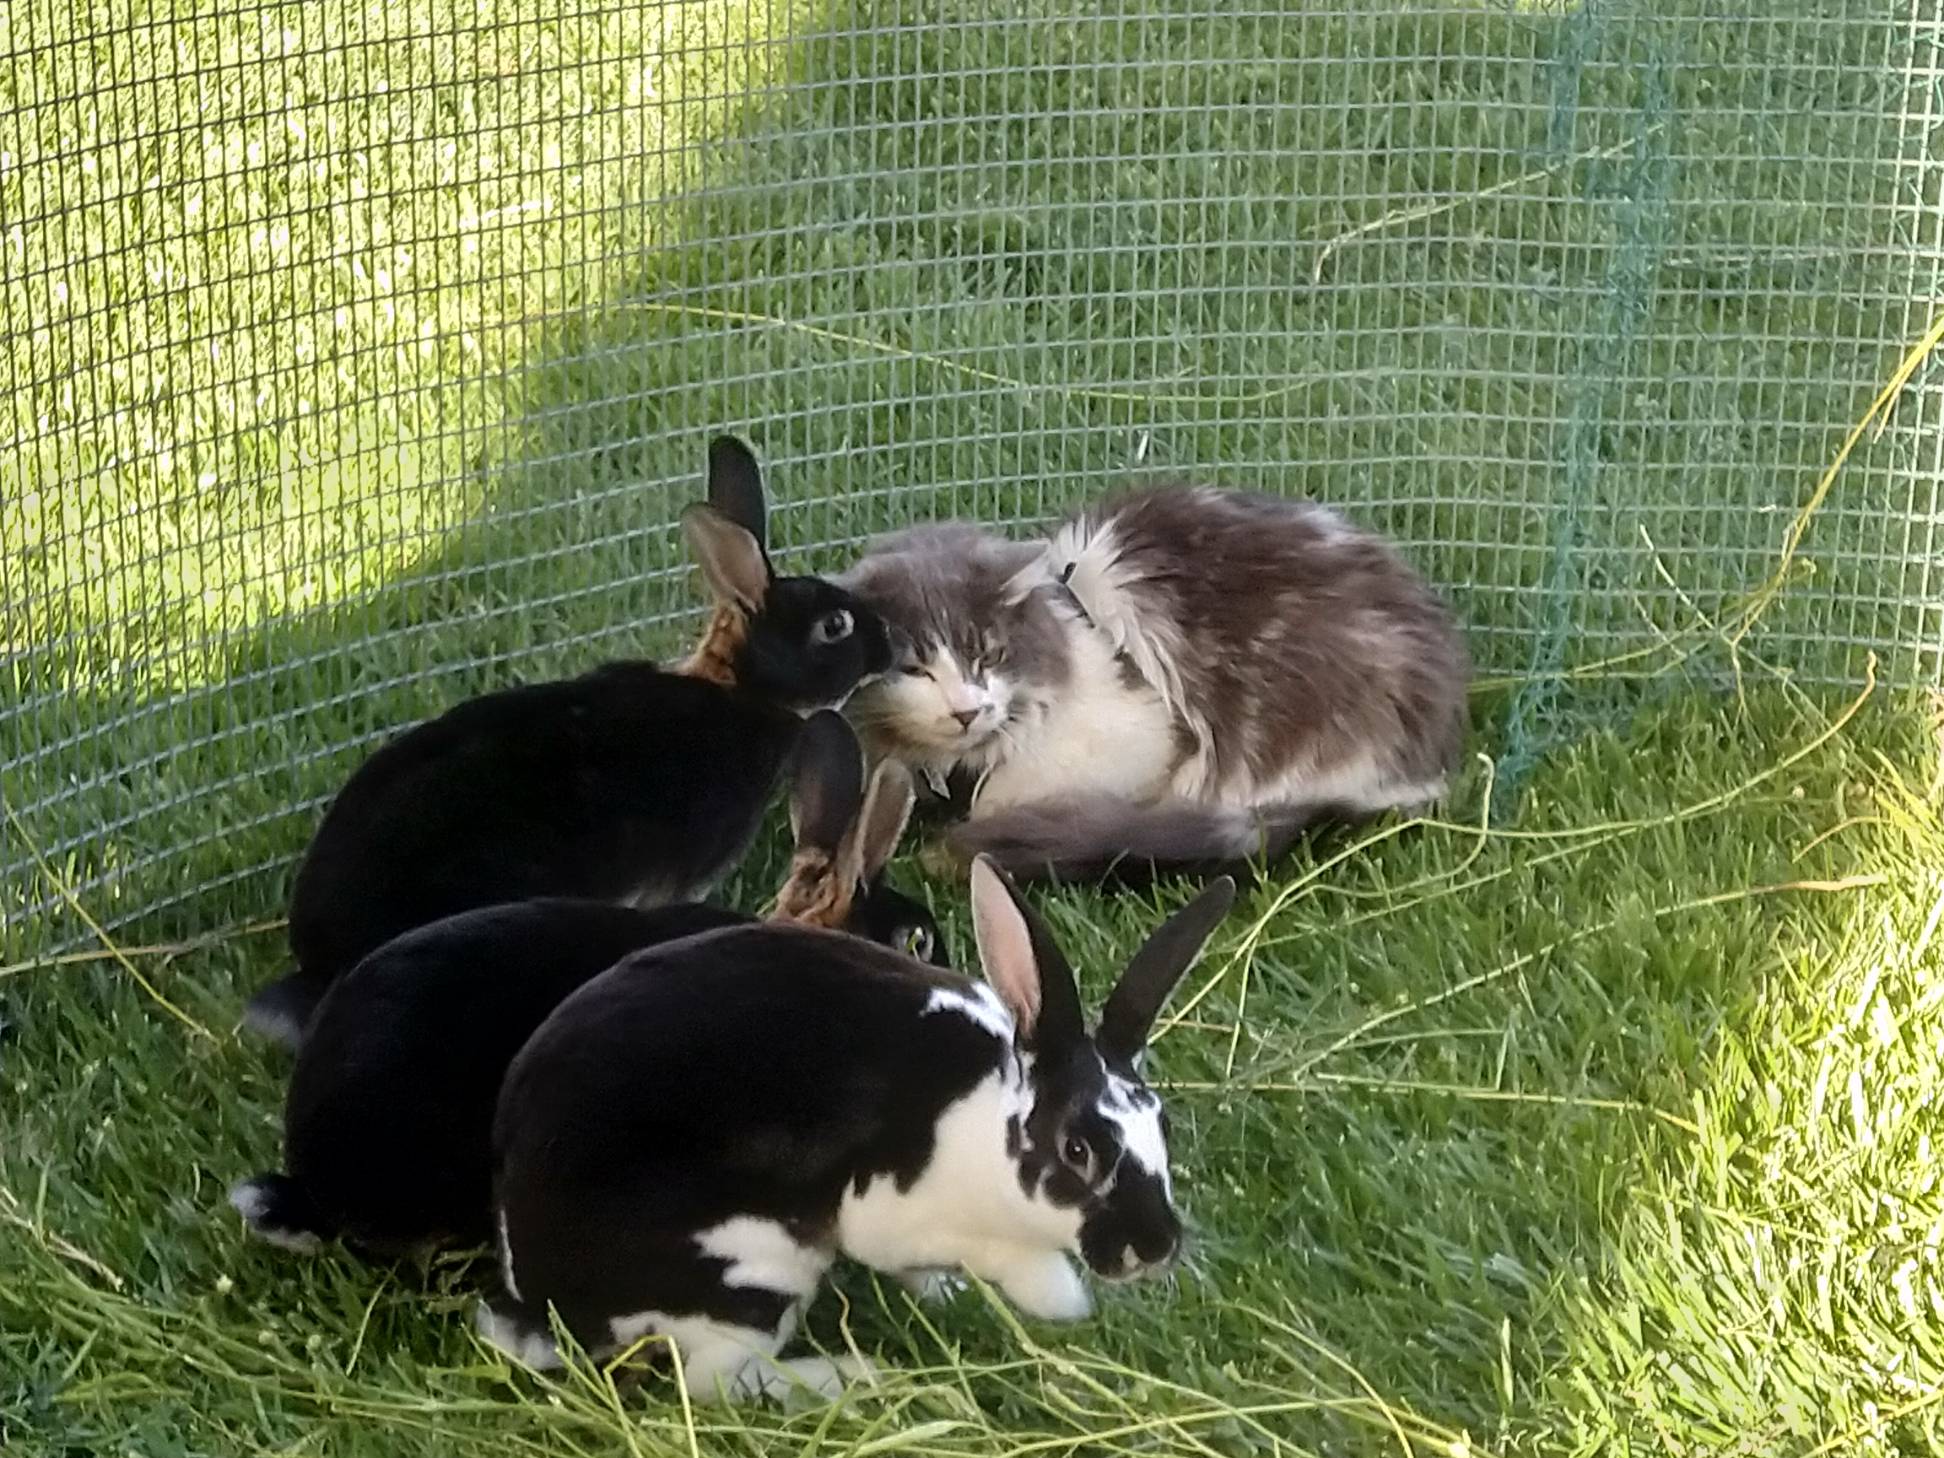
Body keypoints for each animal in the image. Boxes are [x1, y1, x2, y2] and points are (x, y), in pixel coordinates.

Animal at [482, 855, 1236, 1404]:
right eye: (1076, 1150)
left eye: (1164, 1125)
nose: (1156, 1248)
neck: (987, 1130)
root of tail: (545, 1304)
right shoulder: (896, 1214)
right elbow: (1019, 1269)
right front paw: (1062, 1303)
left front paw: (953, 1294)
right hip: (754, 1268)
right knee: (714, 1384)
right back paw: (855, 1376)